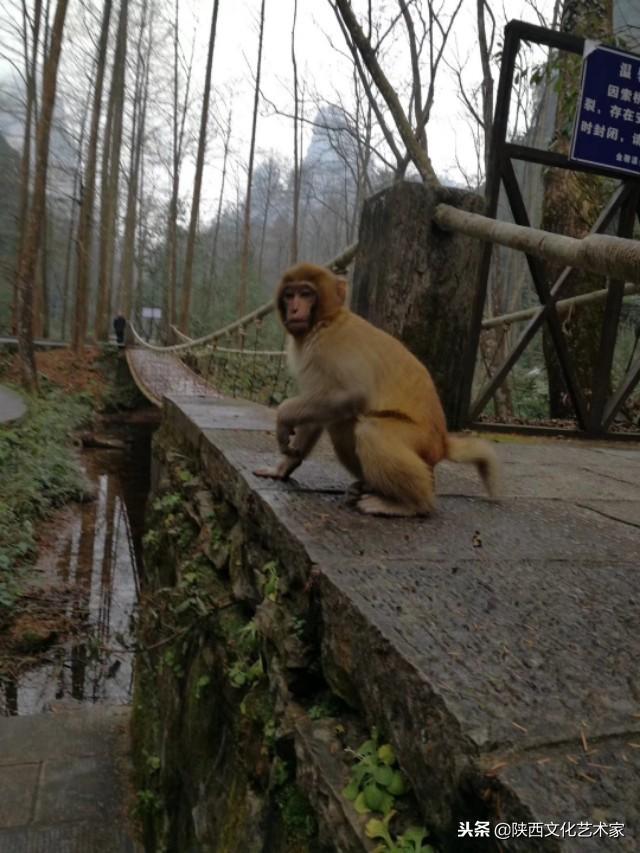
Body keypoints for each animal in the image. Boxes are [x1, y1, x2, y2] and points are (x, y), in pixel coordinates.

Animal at [254, 260, 500, 516]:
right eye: (289, 295)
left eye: (306, 294)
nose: (294, 309)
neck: (326, 320)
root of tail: (442, 443)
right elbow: (315, 414)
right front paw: (284, 466)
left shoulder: (329, 346)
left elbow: (354, 394)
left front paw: (284, 415)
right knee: (341, 421)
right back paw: (370, 487)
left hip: (422, 443)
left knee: (369, 429)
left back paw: (409, 504)